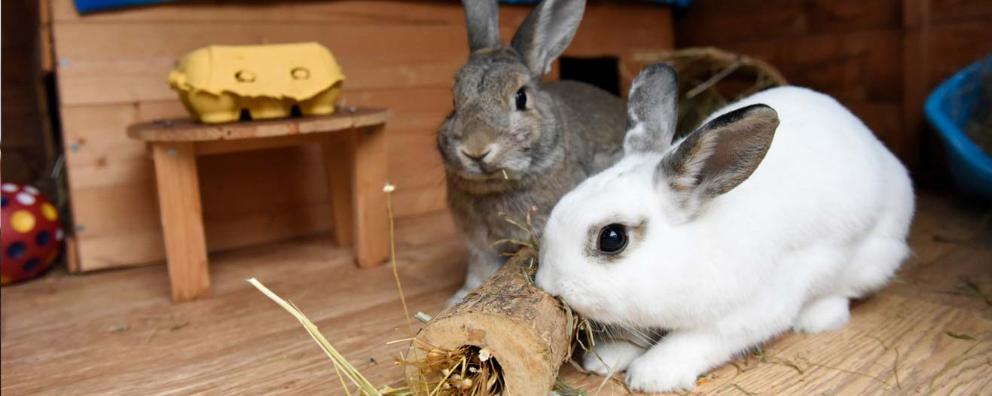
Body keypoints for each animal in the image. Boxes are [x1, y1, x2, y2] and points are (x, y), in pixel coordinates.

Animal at [442, 0, 628, 304]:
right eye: (454, 101)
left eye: (521, 97)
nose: (476, 150)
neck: (496, 187)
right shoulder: (480, 247)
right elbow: (478, 273)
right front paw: (458, 298)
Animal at [536, 65, 916, 392]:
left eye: (612, 238)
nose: (546, 285)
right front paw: (605, 359)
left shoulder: (748, 313)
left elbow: (694, 341)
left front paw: (652, 375)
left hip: (871, 259)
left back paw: (816, 318)